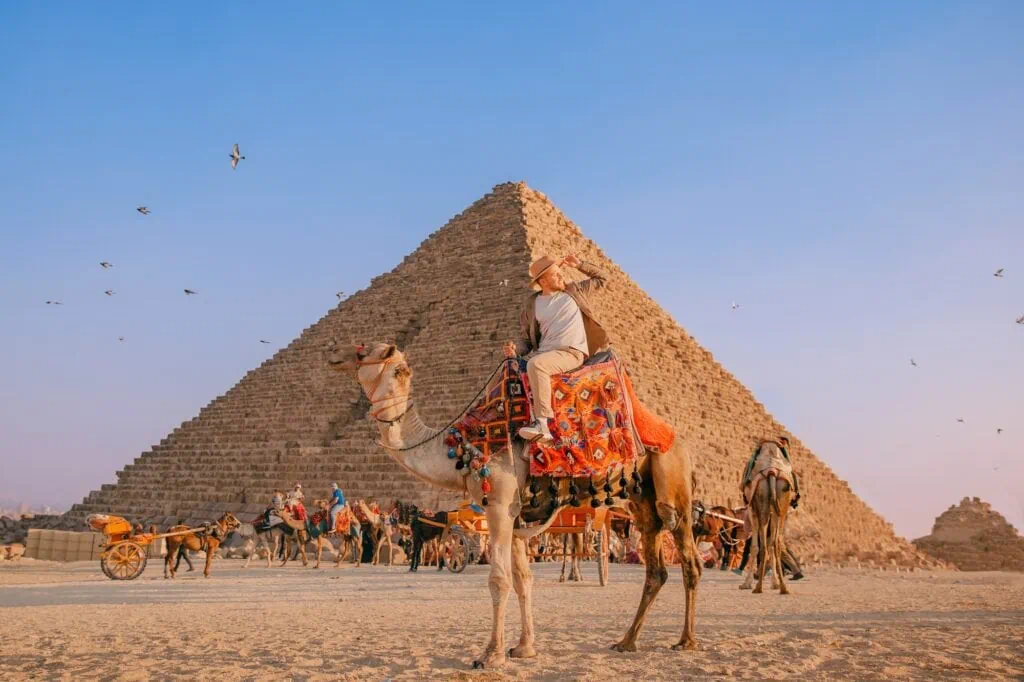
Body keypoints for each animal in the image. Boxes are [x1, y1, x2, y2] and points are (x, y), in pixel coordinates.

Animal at [328, 341, 701, 668]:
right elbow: (523, 579)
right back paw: (627, 641)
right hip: (643, 502)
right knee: (656, 570)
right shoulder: (517, 518)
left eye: (364, 351)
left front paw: (490, 655)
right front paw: (524, 648)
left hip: (675, 490)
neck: (460, 447)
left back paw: (685, 641)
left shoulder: (499, 506)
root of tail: (681, 443)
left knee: (689, 562)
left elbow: (499, 580)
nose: (333, 354)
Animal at [738, 441, 794, 595]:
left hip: (761, 502)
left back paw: (758, 586)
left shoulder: (752, 512)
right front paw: (775, 583)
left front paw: (746, 583)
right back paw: (783, 587)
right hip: (781, 505)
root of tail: (772, 472)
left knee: (763, 545)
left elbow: (754, 547)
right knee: (775, 543)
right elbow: (770, 544)